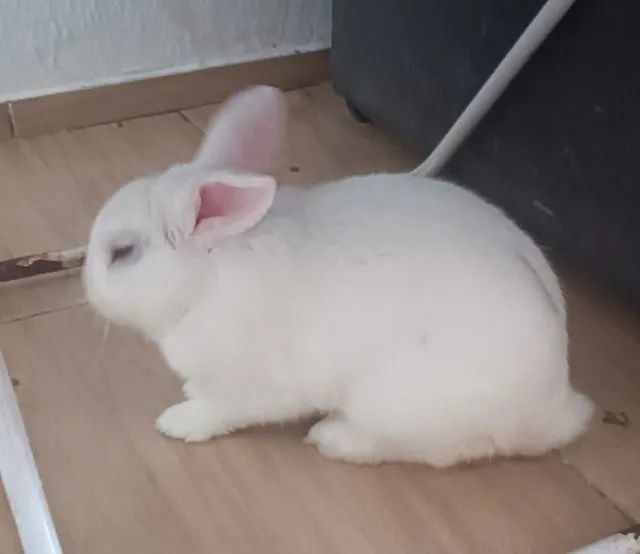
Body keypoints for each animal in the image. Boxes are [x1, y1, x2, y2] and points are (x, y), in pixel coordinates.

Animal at [83, 85, 594, 467]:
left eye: (122, 253)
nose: (87, 286)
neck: (208, 275)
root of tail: (555, 405)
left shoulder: (245, 388)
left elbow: (218, 410)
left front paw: (177, 421)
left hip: (400, 409)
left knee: (441, 450)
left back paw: (332, 438)